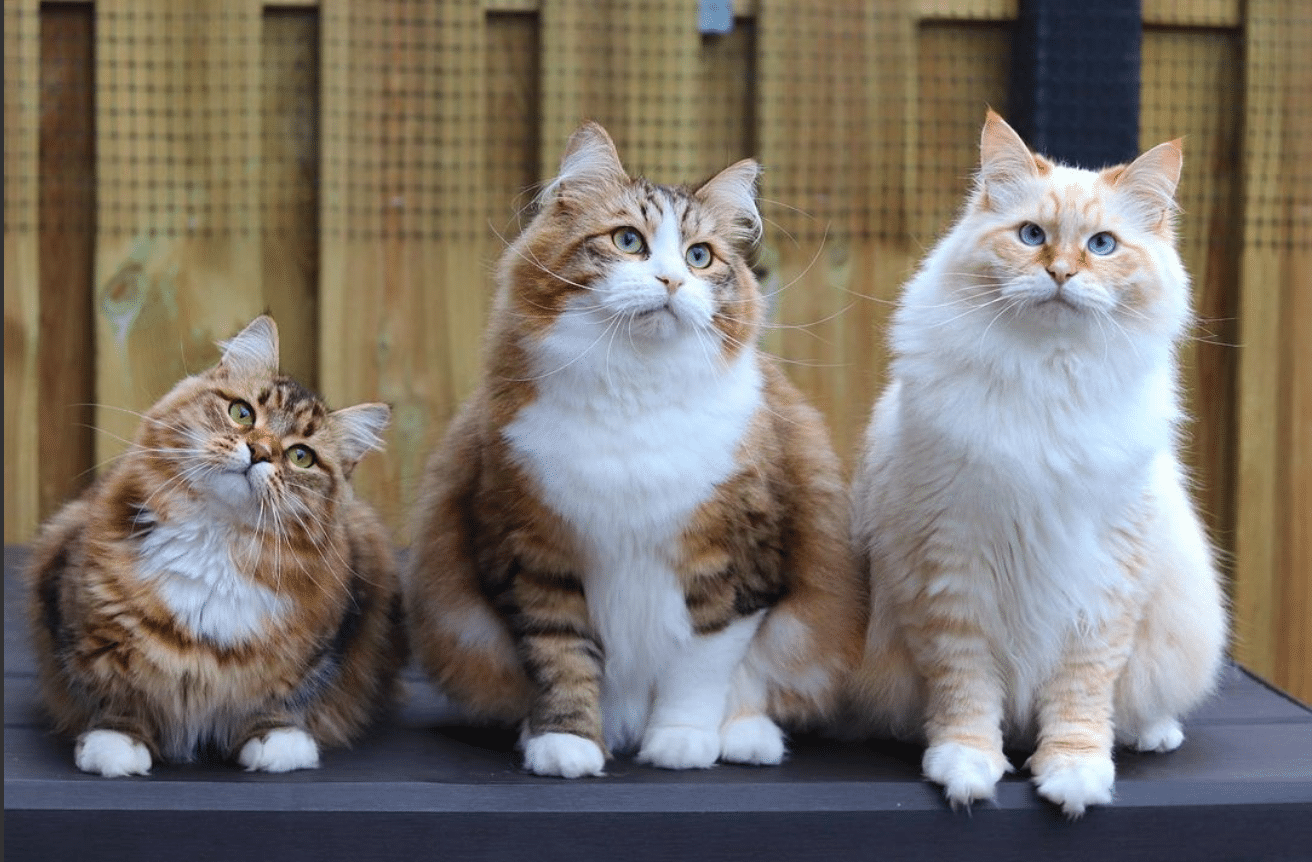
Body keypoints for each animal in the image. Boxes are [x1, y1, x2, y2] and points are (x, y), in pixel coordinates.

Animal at [31, 314, 409, 771]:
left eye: (301, 456)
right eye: (241, 413)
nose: (260, 451)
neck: (216, 541)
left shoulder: (312, 654)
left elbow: (280, 700)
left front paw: (275, 740)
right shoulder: (90, 632)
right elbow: (115, 695)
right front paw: (116, 743)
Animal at [404, 122, 865, 781]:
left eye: (699, 256)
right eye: (628, 241)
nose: (671, 281)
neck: (633, 398)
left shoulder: (736, 564)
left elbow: (700, 669)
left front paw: (681, 741)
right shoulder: (534, 557)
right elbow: (561, 661)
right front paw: (566, 743)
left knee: (755, 689)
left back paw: (745, 739)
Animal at [850, 110, 1228, 818]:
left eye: (1102, 246)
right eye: (1032, 236)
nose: (1061, 273)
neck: (1048, 381)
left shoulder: (1104, 577)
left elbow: (1081, 696)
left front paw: (1074, 775)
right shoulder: (954, 566)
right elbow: (966, 692)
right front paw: (967, 769)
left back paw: (1153, 733)